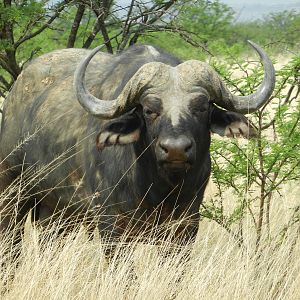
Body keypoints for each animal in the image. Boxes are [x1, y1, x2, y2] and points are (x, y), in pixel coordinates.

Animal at [0, 40, 276, 251]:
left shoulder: (186, 226)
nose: (176, 149)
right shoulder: (112, 227)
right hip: (12, 195)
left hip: (57, 212)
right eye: (149, 109)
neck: (158, 188)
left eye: (202, 107)